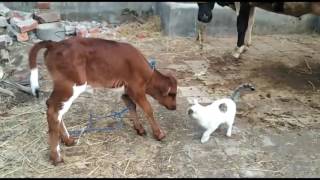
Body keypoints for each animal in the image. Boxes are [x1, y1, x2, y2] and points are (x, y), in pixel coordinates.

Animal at [28, 37, 178, 165]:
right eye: (173, 94)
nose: (175, 107)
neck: (148, 75)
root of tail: (55, 44)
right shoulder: (137, 88)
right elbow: (148, 109)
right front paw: (159, 134)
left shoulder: (125, 91)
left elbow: (131, 107)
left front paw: (139, 129)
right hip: (71, 85)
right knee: (54, 110)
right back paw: (57, 157)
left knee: (54, 108)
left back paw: (68, 140)